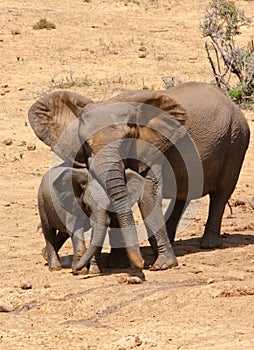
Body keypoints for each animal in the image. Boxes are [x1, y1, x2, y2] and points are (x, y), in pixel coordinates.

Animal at [29, 82, 250, 270]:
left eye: (126, 141)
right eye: (87, 145)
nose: (143, 265)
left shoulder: (154, 147)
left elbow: (147, 195)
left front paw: (162, 266)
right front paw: (119, 264)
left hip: (236, 140)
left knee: (221, 193)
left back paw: (208, 244)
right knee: (182, 195)